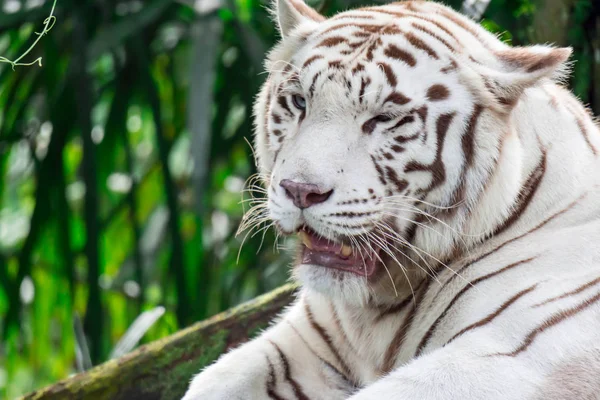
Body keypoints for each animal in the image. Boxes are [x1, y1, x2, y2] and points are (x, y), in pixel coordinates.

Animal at [182, 0, 600, 396]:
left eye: (383, 119)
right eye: (300, 102)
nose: (300, 190)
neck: (375, 313)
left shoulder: (507, 357)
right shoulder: (304, 342)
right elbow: (213, 381)